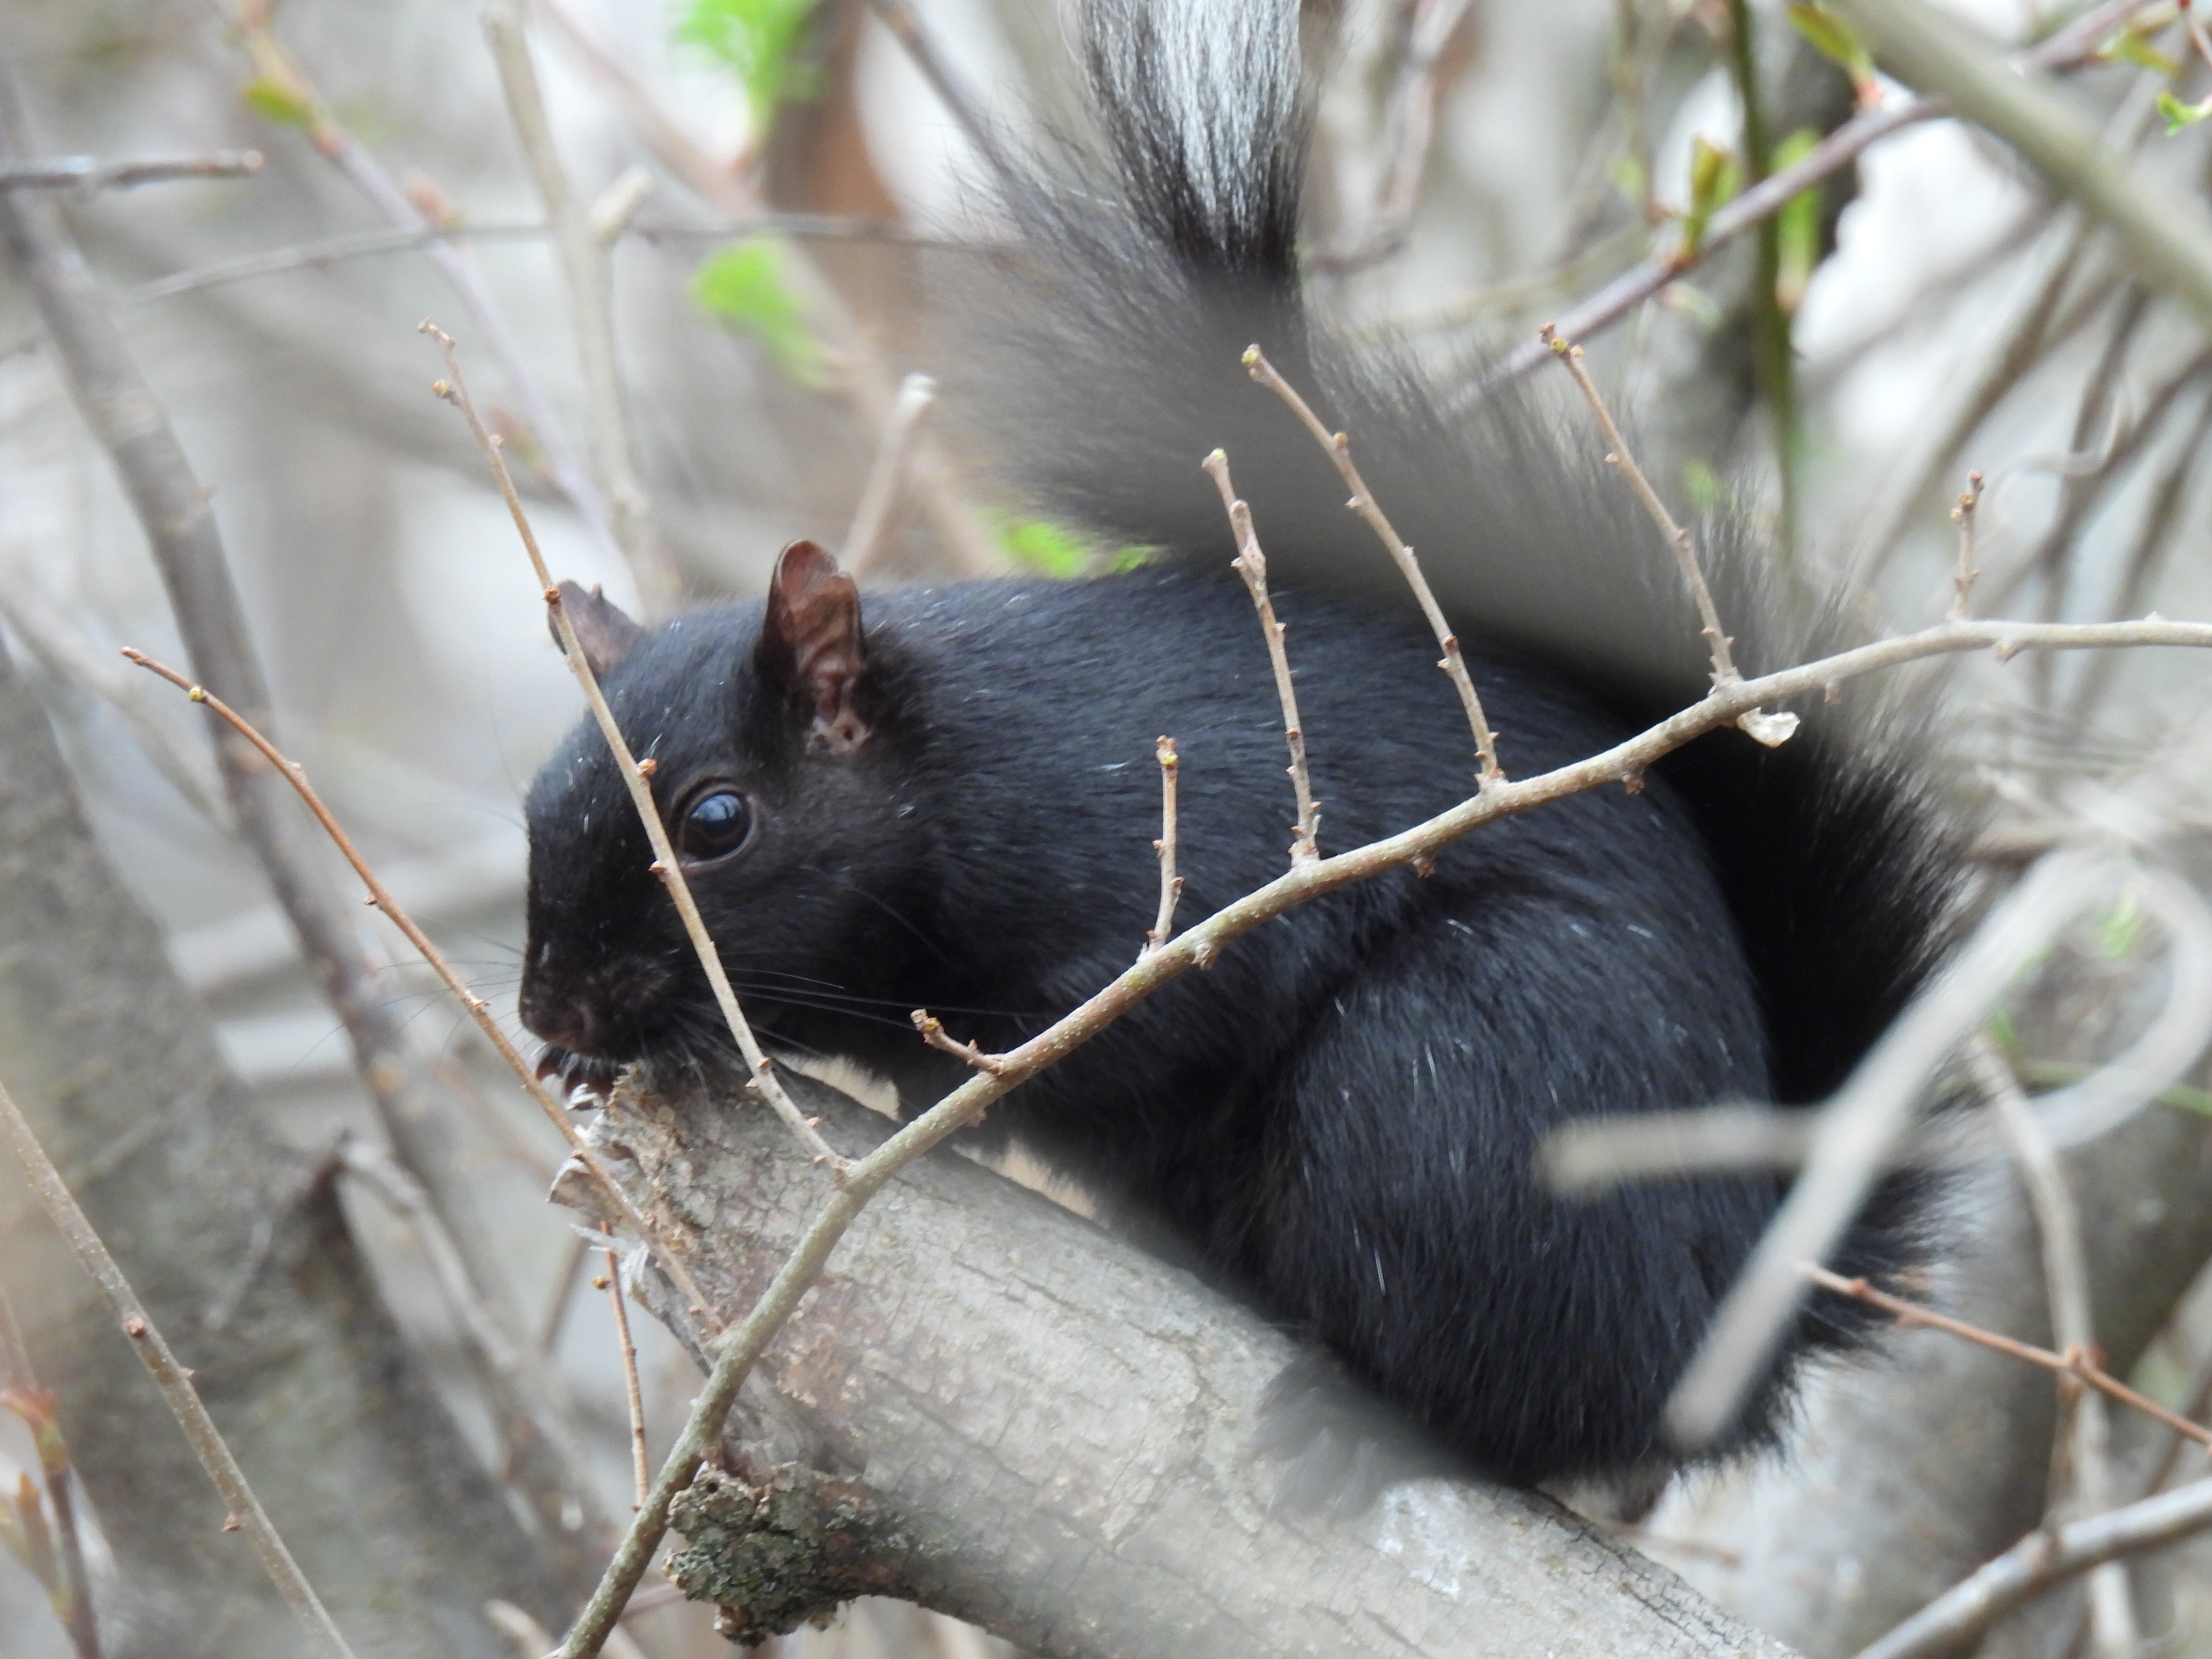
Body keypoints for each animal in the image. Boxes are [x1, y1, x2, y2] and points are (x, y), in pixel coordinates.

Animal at [517, 0, 1955, 1487]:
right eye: (533, 804)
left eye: (717, 822)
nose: (546, 1008)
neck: (973, 759)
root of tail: (1724, 1321)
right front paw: (591, 1061)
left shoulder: (1168, 886)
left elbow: (1082, 1039)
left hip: (1459, 1073)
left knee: (1530, 1401)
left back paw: (1369, 1418)